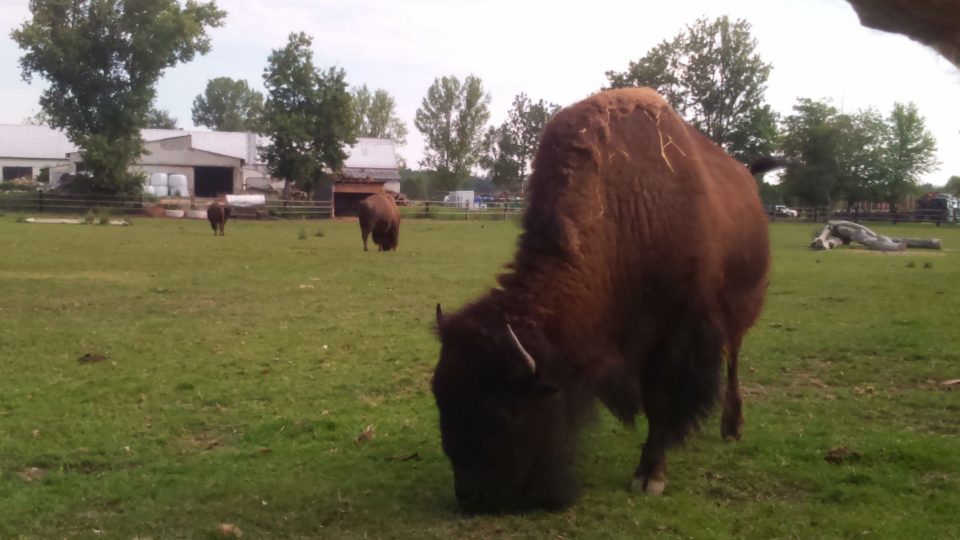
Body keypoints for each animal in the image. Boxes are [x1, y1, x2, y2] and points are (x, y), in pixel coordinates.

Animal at [432, 87, 776, 510]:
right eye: (440, 397)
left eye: (498, 413)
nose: (471, 497)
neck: (624, 211)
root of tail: (747, 179)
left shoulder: (674, 334)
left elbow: (660, 400)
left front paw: (650, 476)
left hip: (741, 308)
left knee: (733, 359)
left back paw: (732, 427)